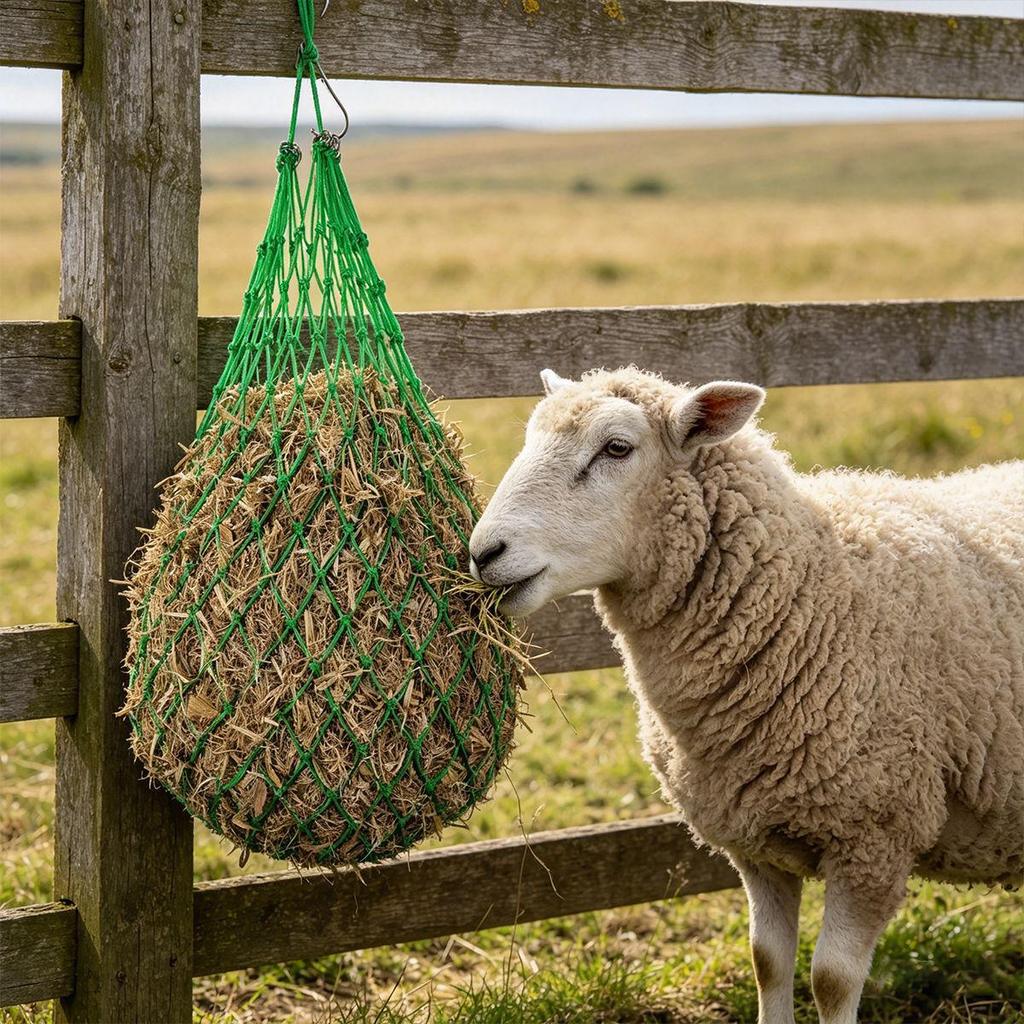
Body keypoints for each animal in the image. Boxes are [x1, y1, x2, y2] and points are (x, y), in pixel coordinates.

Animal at [468, 366, 1024, 1024]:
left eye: (617, 448)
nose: (483, 553)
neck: (811, 597)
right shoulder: (755, 840)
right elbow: (768, 961)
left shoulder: (874, 836)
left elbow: (832, 979)